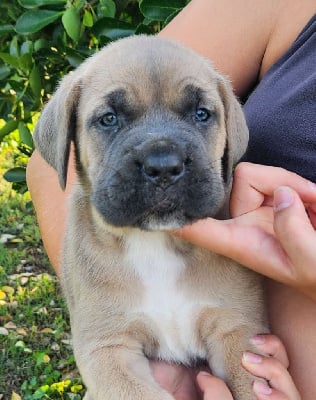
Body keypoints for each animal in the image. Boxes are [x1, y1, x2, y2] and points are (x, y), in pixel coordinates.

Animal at [34, 36, 266, 398]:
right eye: (109, 119)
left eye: (201, 114)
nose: (164, 165)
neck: (155, 242)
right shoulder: (107, 348)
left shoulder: (238, 329)